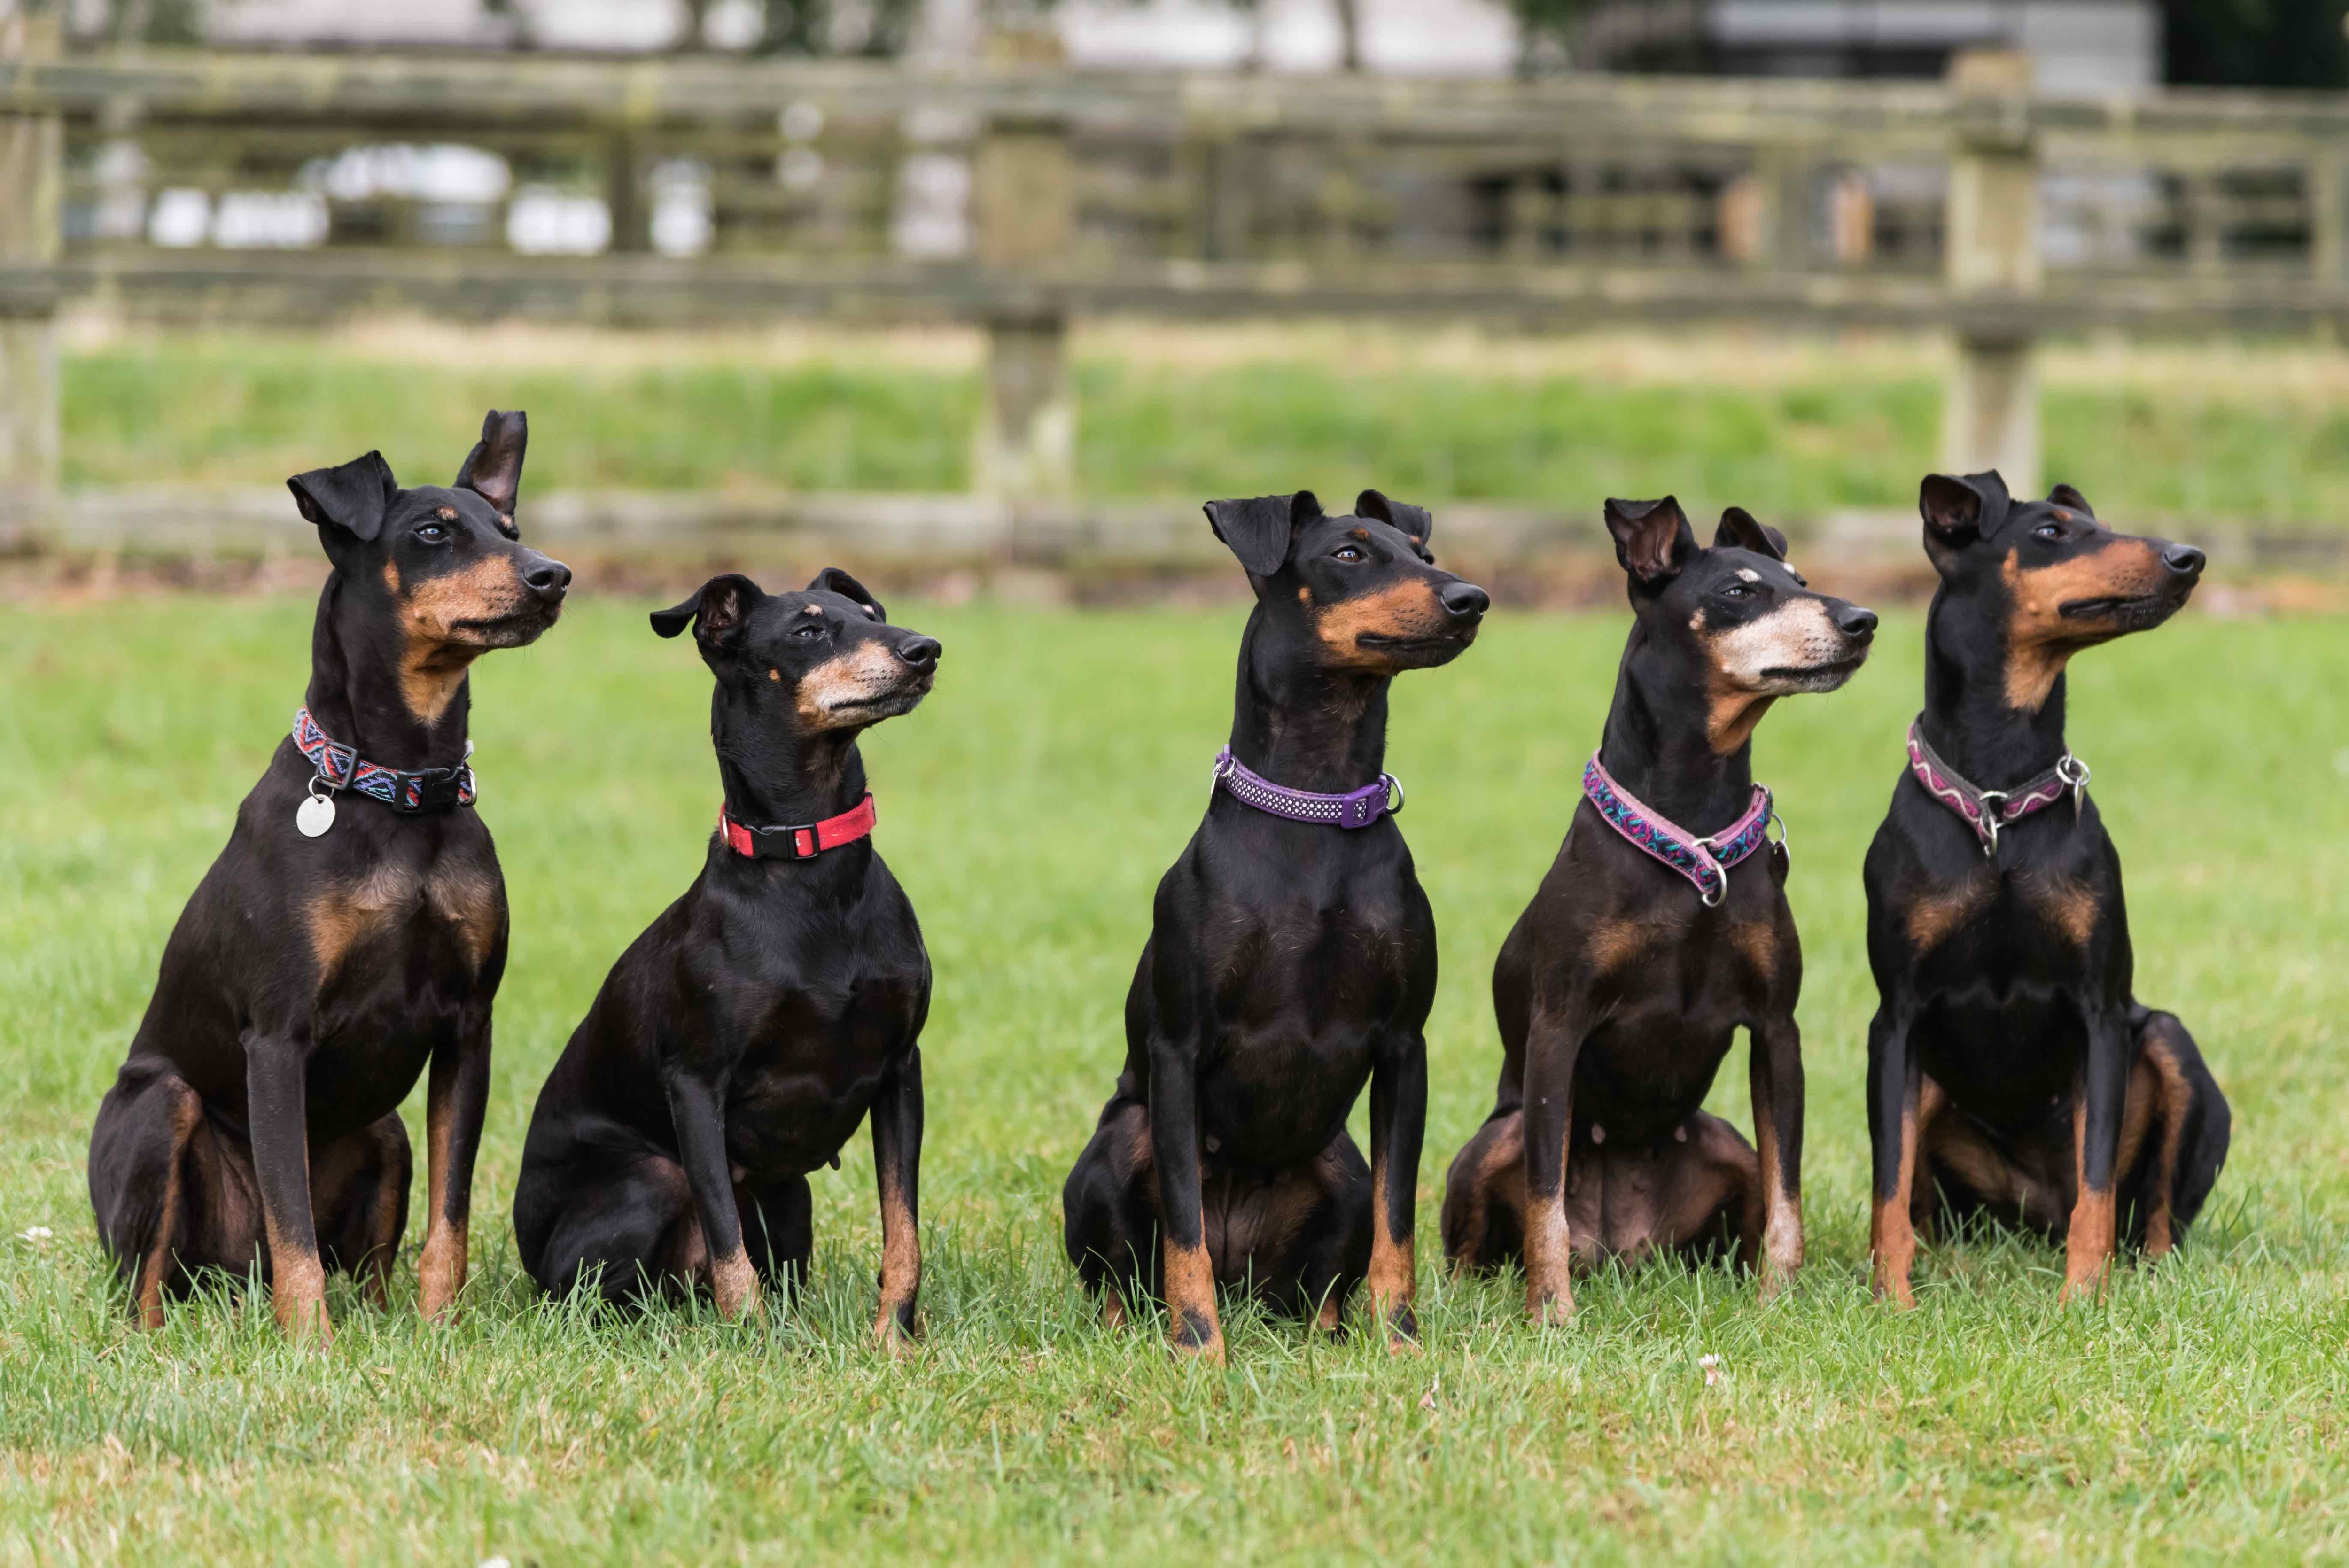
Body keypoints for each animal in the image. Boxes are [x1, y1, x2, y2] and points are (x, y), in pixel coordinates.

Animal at [519, 570, 940, 1343]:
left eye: (870, 614)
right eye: (808, 630)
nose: (925, 649)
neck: (809, 868)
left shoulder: (902, 1068)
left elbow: (904, 1230)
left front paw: (893, 1340)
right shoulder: (695, 1083)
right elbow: (726, 1242)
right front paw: (756, 1344)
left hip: (791, 1197)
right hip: (649, 1182)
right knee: (596, 1296)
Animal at [1066, 486, 1485, 1361]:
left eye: (1425, 555)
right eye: (1350, 554)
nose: (1472, 599)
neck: (1316, 810)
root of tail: (1244, 1272)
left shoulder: (1406, 1048)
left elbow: (1398, 1221)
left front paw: (1400, 1340)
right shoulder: (1179, 1051)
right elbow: (1184, 1228)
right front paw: (1199, 1349)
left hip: (1339, 1167)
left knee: (1321, 1286)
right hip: (1120, 1143)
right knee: (1125, 1280)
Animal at [1428, 495, 1870, 1314]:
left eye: (1800, 580)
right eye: (1739, 591)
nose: (1864, 620)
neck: (1692, 838)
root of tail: (1620, 1247)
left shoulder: (1778, 1031)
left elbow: (1788, 1191)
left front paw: (1778, 1302)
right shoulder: (1557, 1031)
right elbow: (1544, 1199)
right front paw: (1553, 1314)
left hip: (1722, 1140)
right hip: (1494, 1139)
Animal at [1860, 472, 2227, 1305]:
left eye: (2099, 523)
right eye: (2053, 532)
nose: (2187, 557)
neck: (2000, 799)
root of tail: (2037, 1210)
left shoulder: (2101, 1012)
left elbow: (2097, 1181)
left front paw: (2083, 1297)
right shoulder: (1895, 1019)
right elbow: (1889, 1180)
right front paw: (1891, 1299)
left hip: (2169, 1045)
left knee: (2152, 1211)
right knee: (1926, 1203)